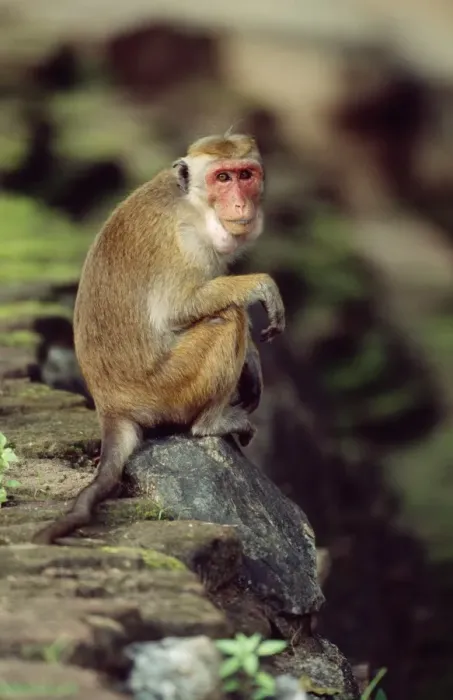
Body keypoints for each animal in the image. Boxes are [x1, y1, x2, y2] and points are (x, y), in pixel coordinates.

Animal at [32, 132, 285, 545]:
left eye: (245, 175)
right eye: (222, 178)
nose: (239, 203)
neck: (192, 203)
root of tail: (110, 407)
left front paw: (253, 362)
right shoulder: (187, 240)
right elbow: (177, 309)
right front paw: (261, 285)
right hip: (165, 390)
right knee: (226, 318)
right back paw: (211, 423)